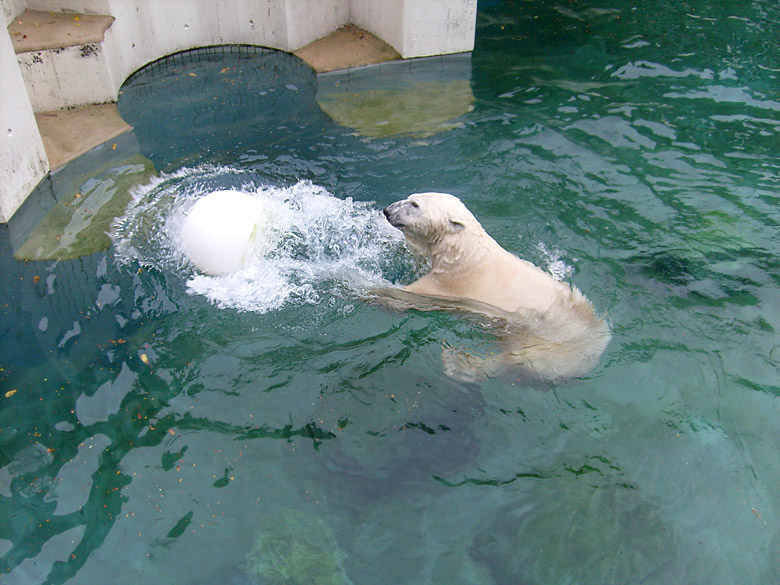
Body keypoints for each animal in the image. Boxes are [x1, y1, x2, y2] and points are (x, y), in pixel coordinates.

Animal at [380, 193, 612, 384]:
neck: (467, 254)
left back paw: (460, 363)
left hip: (551, 350)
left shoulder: (452, 284)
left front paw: (372, 289)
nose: (387, 210)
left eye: (415, 205)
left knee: (512, 361)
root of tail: (599, 346)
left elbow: (408, 297)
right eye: (410, 197)